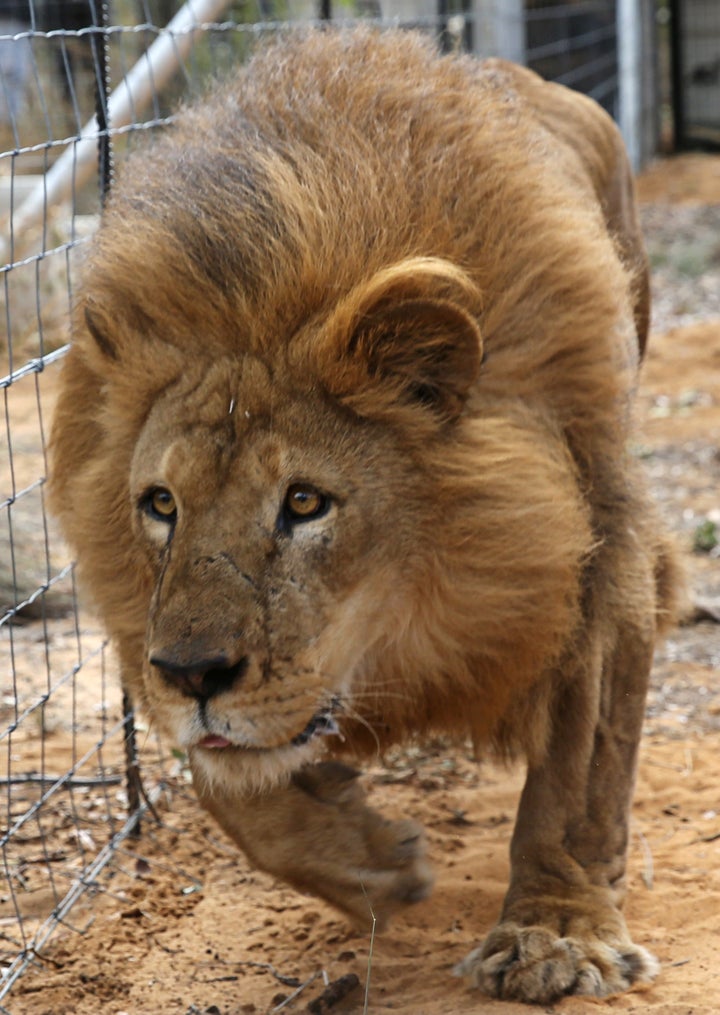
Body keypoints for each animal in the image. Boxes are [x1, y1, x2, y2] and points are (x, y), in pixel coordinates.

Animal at [47, 29, 678, 1006]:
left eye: (304, 502)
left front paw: (555, 933)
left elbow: (577, 773)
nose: (194, 673)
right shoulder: (156, 645)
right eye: (161, 504)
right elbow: (224, 781)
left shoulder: (596, 555)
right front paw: (370, 861)